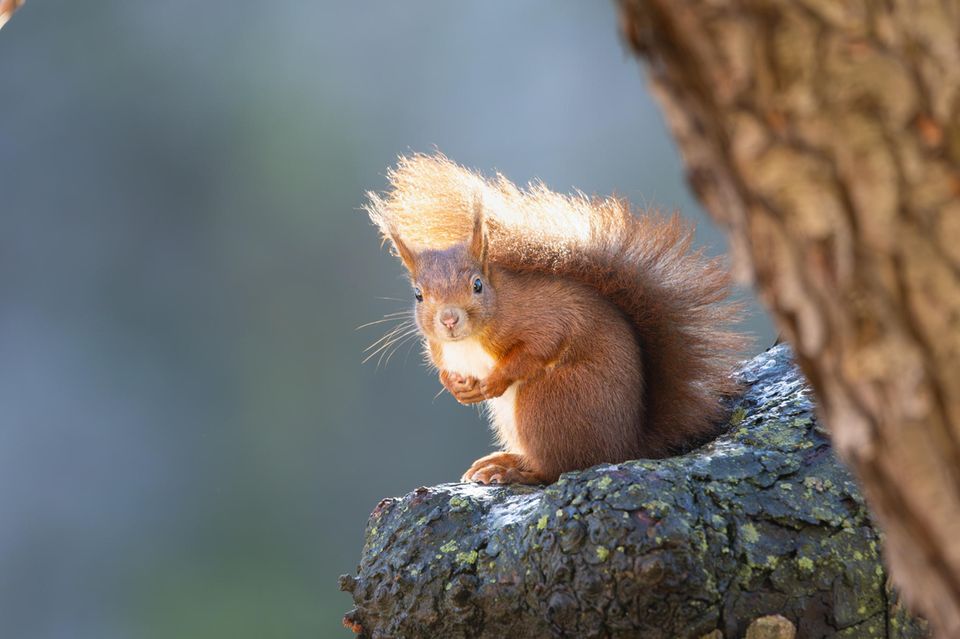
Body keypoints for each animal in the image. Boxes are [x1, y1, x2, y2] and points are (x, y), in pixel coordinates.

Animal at [364, 154, 748, 484]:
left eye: (477, 285)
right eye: (418, 295)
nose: (448, 319)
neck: (471, 340)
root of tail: (628, 448)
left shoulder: (544, 318)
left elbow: (540, 346)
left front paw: (495, 381)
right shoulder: (440, 348)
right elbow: (442, 366)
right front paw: (456, 386)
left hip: (548, 404)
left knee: (558, 467)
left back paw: (514, 472)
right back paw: (505, 460)